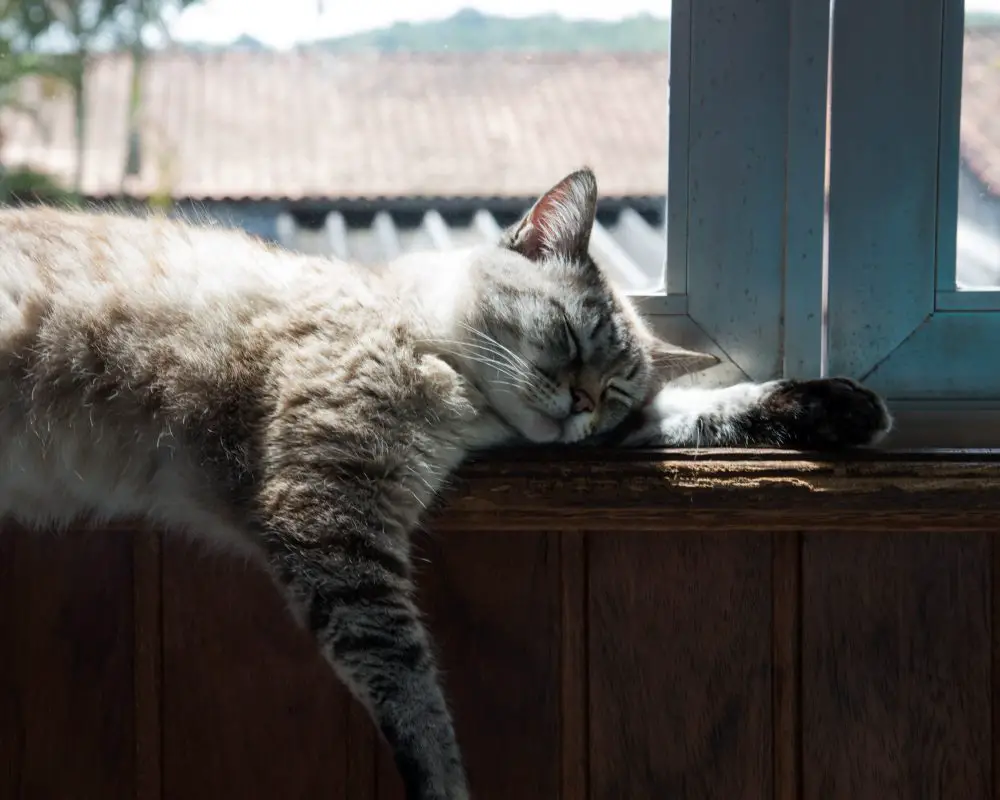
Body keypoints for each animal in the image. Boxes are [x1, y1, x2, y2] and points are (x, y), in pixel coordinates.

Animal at [0, 166, 892, 796]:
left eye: (614, 392)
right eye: (570, 338)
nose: (579, 406)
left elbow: (706, 410)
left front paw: (841, 409)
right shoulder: (333, 512)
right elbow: (412, 690)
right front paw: (446, 785)